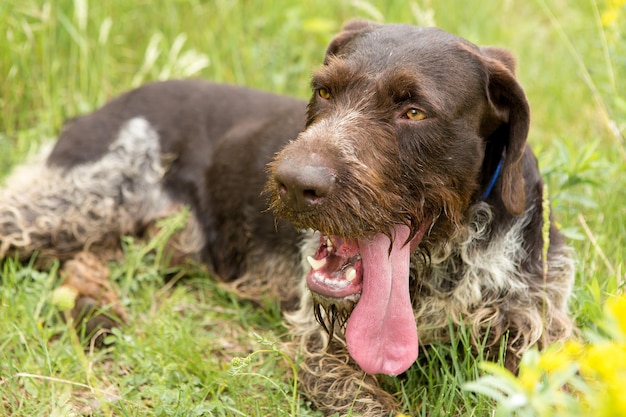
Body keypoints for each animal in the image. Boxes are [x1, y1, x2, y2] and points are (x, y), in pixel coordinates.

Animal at [1, 20, 576, 416]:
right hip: (80, 200)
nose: (295, 183)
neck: (442, 265)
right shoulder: (318, 349)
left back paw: (96, 311)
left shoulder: (539, 329)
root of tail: (97, 109)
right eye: (324, 90)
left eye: (413, 111)